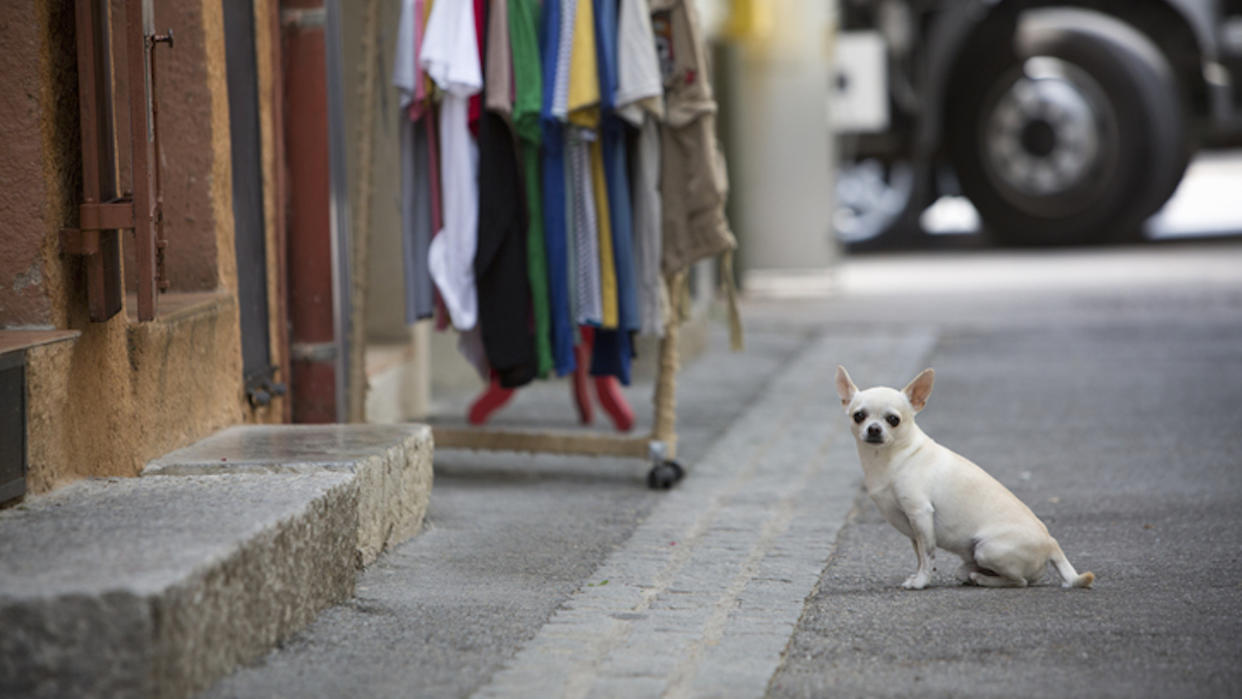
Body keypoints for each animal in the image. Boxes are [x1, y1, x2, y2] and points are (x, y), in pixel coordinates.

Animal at [839, 367, 1092, 590]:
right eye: (859, 416)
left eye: (893, 420)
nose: (873, 429)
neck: (890, 459)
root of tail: (1051, 543)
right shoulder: (913, 527)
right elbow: (920, 554)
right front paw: (920, 576)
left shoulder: (920, 514)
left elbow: (927, 554)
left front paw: (921, 582)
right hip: (975, 557)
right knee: (977, 573)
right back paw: (974, 576)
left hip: (987, 549)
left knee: (1020, 582)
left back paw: (982, 579)